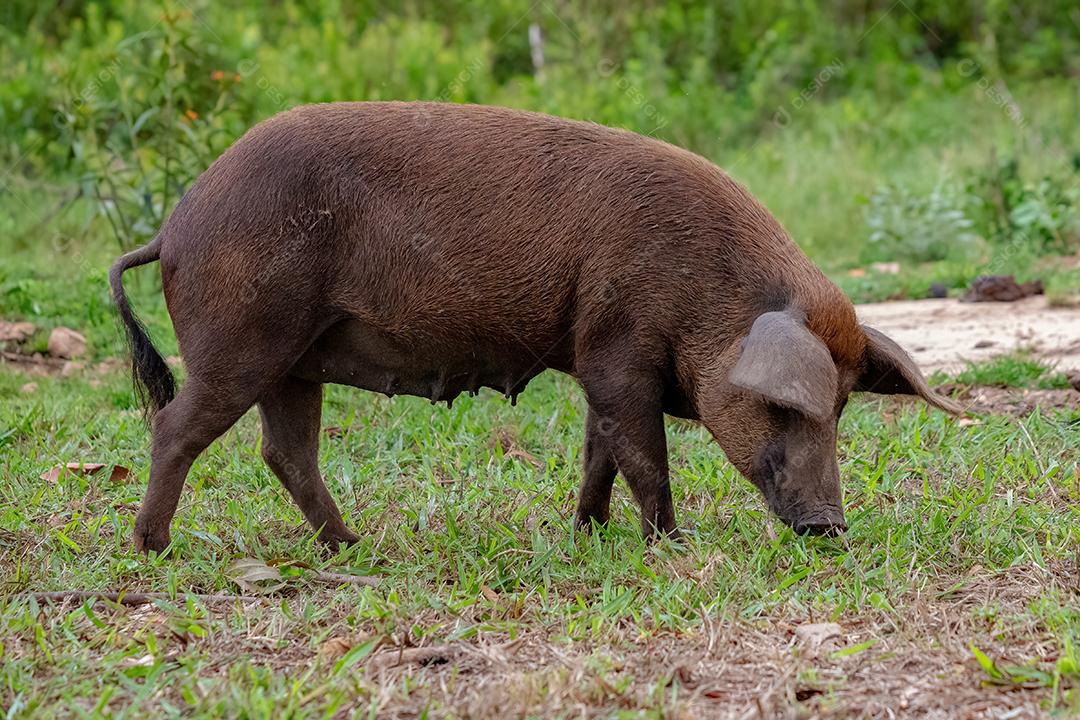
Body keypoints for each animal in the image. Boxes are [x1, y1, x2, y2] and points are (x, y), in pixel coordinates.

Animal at [109, 102, 960, 554]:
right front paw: (670, 545)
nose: (829, 526)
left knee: (284, 452)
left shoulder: (594, 354)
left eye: (844, 405)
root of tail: (174, 227)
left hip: (293, 362)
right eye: (786, 407)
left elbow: (600, 452)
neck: (707, 294)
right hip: (242, 337)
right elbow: (643, 455)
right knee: (178, 425)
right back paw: (153, 549)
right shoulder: (618, 345)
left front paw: (586, 534)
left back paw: (353, 547)